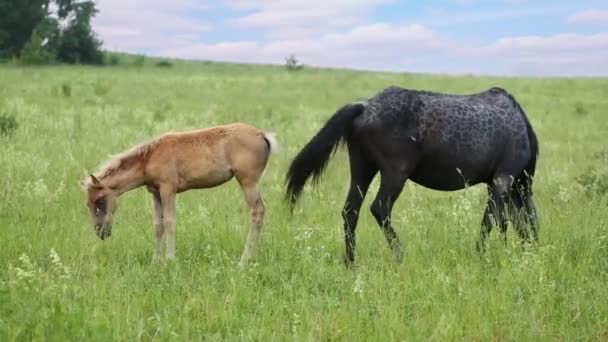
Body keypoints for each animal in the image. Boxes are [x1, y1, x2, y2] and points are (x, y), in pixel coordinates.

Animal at [83, 123, 278, 268]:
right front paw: (155, 262)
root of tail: (261, 135)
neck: (149, 158)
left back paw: (244, 261)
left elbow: (169, 222)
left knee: (257, 212)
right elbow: (158, 226)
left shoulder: (168, 189)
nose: (100, 232)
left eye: (100, 200)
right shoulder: (156, 193)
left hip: (248, 181)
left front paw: (170, 260)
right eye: (88, 204)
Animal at [288, 85, 540, 264]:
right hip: (395, 173)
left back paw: (351, 263)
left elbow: (503, 219)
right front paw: (481, 254)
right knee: (380, 208)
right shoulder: (503, 179)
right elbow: (492, 219)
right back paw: (401, 256)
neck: (522, 130)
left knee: (351, 211)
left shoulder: (497, 184)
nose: (535, 251)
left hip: (363, 168)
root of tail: (365, 107)